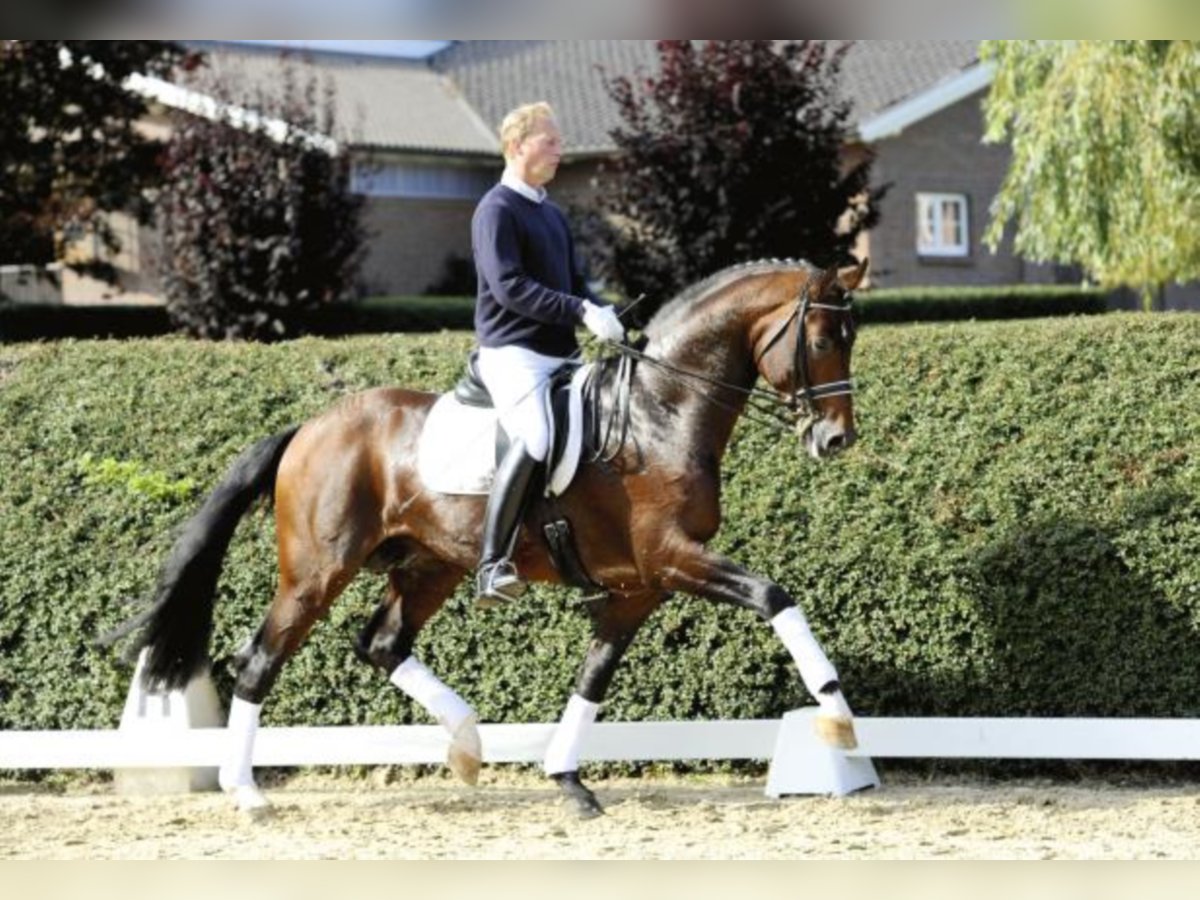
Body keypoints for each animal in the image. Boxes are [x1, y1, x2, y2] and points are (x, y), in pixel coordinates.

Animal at [103, 256, 868, 820]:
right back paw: (248, 792)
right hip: (318, 572)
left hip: (428, 566)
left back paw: (468, 742)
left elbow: (594, 676)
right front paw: (838, 718)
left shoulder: (638, 587)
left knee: (382, 644)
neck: (661, 413)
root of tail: (310, 428)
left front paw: (567, 779)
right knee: (261, 659)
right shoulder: (674, 559)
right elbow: (775, 597)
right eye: (822, 341)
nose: (836, 440)